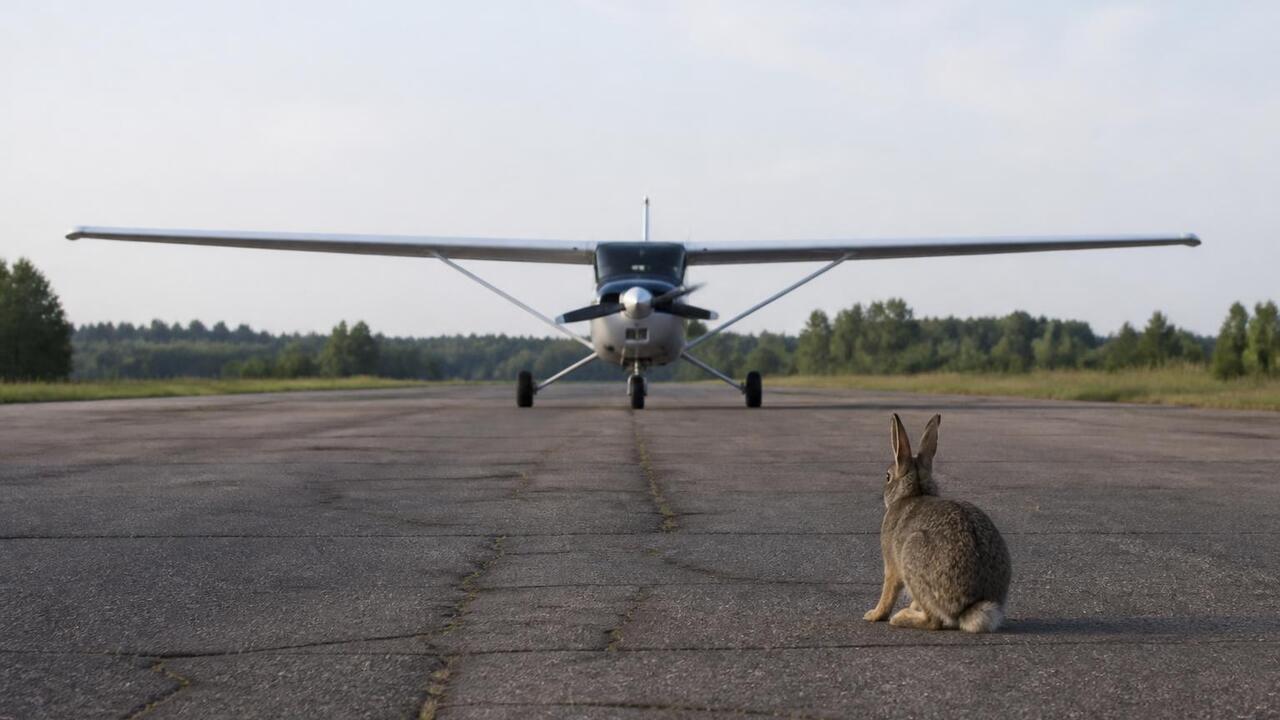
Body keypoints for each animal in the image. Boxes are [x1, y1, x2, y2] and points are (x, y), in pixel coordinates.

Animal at [862, 413, 1011, 632]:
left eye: (887, 476)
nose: (883, 490)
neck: (915, 492)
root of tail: (970, 607)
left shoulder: (892, 563)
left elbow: (889, 590)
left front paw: (873, 615)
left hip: (912, 554)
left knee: (933, 622)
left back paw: (900, 617)